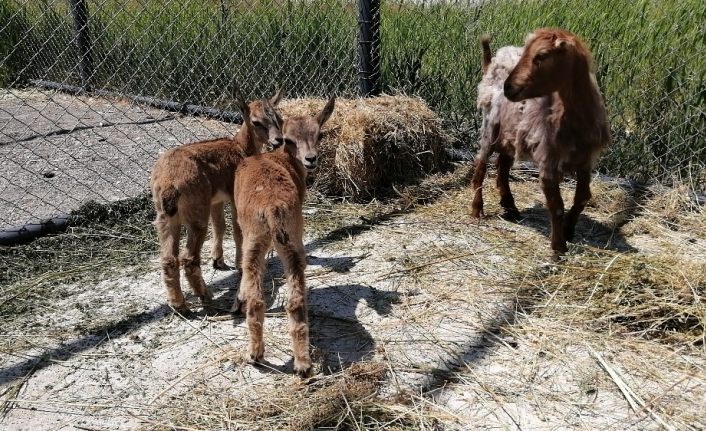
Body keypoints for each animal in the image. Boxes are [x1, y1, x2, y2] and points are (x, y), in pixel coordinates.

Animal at [472, 28, 612, 253]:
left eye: (541, 55)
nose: (508, 87)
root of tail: (493, 62)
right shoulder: (548, 158)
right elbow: (556, 205)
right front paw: (558, 246)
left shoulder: (586, 160)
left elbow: (582, 197)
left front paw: (569, 230)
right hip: (490, 126)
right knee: (481, 164)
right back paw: (476, 210)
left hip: (510, 134)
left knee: (502, 166)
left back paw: (510, 207)